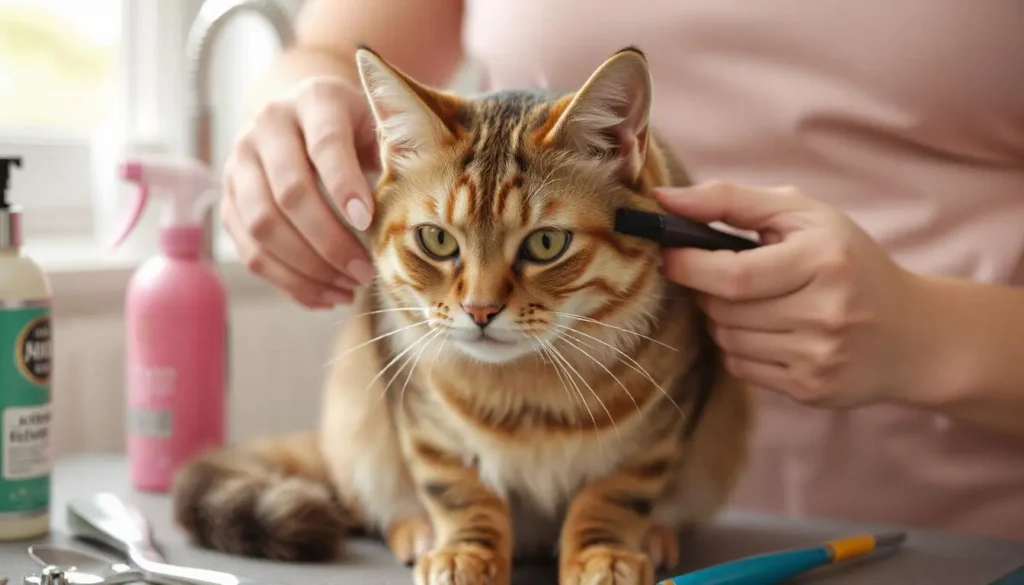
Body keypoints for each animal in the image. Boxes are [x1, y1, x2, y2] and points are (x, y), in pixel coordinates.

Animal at [172, 45, 753, 585]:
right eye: (437, 239)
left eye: (546, 243)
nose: (480, 309)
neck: (528, 391)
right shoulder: (418, 405)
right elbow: (458, 490)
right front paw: (464, 554)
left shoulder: (664, 419)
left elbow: (615, 493)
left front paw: (603, 555)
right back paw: (416, 530)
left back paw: (656, 536)